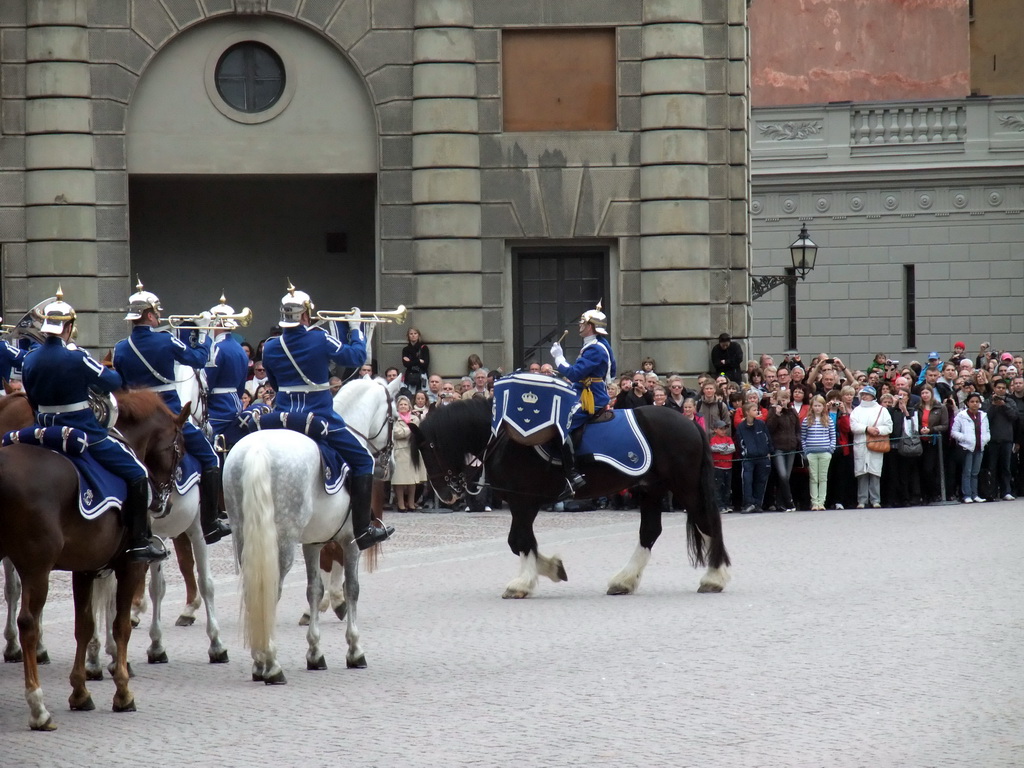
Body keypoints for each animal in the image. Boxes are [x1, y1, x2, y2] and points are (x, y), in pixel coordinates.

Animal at [0, 393, 188, 729]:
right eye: (179, 448)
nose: (163, 504)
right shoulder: (130, 566)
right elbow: (120, 625)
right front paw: (123, 692)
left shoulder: (85, 568)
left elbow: (84, 626)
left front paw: (80, 692)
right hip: (37, 568)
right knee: (28, 623)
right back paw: (38, 707)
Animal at [224, 378, 399, 684]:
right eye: (397, 417)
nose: (390, 466)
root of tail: (257, 449)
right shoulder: (351, 541)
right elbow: (352, 588)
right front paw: (355, 651)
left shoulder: (313, 543)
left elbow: (314, 590)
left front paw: (315, 653)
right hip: (282, 541)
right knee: (271, 590)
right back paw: (271, 665)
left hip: (244, 535)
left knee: (253, 589)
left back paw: (259, 662)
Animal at [407, 397, 729, 602]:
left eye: (428, 449)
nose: (445, 494)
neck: (505, 439)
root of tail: (689, 423)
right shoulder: (524, 503)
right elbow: (520, 541)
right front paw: (552, 568)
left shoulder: (523, 502)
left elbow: (520, 540)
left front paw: (523, 583)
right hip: (651, 488)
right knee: (650, 532)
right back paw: (623, 581)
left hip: (686, 488)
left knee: (706, 523)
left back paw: (714, 578)